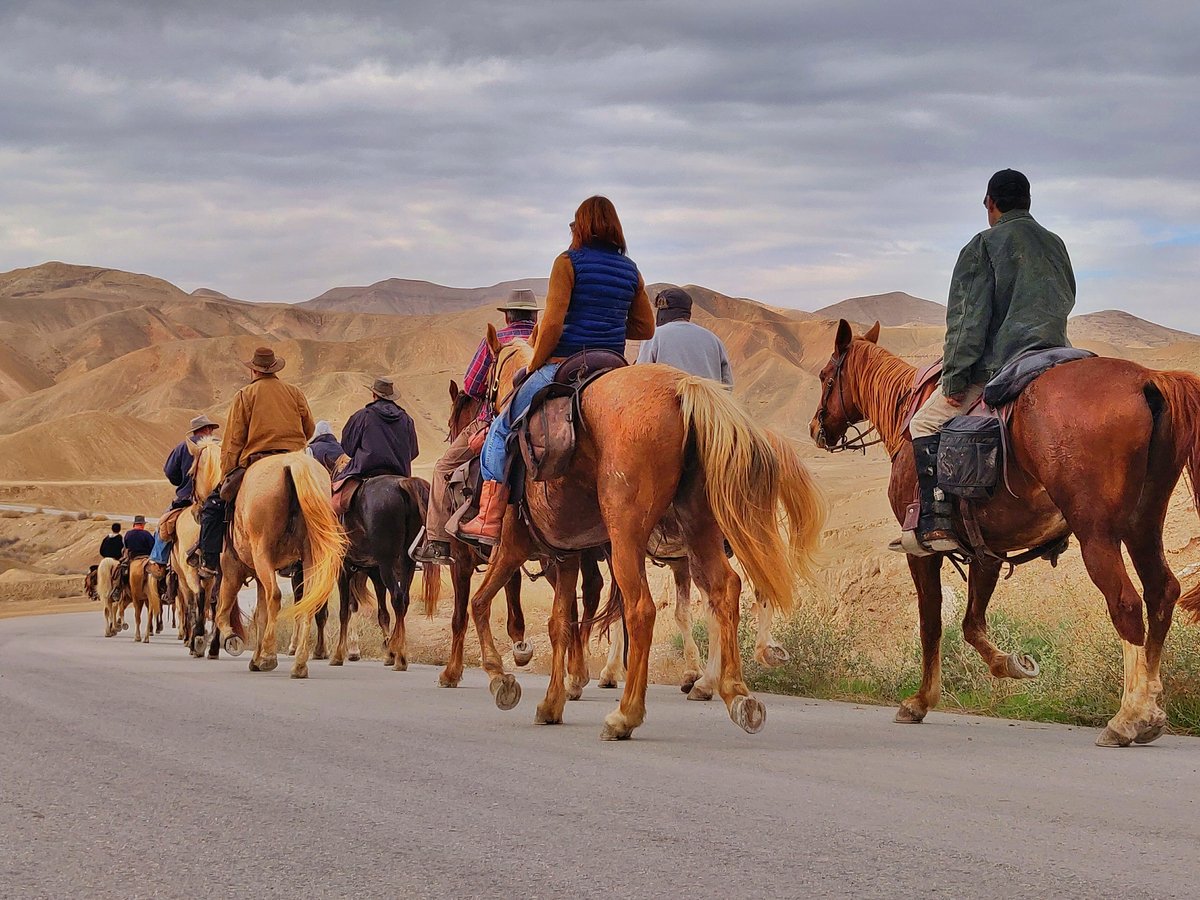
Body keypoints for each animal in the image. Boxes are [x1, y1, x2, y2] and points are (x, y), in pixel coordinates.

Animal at [218, 453, 348, 681]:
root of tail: (293, 463)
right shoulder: (259, 576)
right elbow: (260, 615)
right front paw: (255, 658)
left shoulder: (232, 570)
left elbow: (225, 610)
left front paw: (232, 639)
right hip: (310, 559)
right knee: (307, 603)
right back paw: (299, 664)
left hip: (262, 556)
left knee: (275, 597)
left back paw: (270, 655)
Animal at [463, 331, 820, 739]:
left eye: (486, 373)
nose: (475, 416)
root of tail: (685, 391)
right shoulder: (566, 554)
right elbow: (560, 623)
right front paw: (552, 702)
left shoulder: (513, 545)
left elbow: (481, 603)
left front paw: (502, 680)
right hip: (702, 530)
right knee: (725, 589)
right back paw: (736, 692)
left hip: (631, 537)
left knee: (645, 608)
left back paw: (628, 713)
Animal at [806, 321, 1200, 748]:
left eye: (826, 376)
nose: (815, 429)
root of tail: (1148, 380)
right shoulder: (986, 551)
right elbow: (972, 623)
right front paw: (1011, 664)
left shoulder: (921, 552)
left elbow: (931, 623)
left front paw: (920, 701)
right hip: (1143, 524)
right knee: (1161, 593)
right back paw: (1151, 711)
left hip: (1098, 534)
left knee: (1125, 603)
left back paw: (1128, 716)